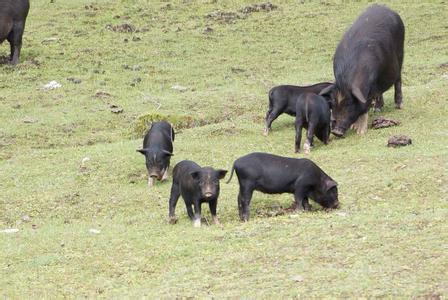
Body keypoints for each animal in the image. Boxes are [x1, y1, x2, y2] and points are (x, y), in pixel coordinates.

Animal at [318, 4, 406, 137]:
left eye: (349, 104)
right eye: (333, 103)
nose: (336, 131)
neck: (346, 81)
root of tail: (387, 8)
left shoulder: (371, 85)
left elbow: (365, 103)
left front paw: (360, 131)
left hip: (400, 52)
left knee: (398, 79)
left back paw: (399, 105)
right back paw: (378, 109)